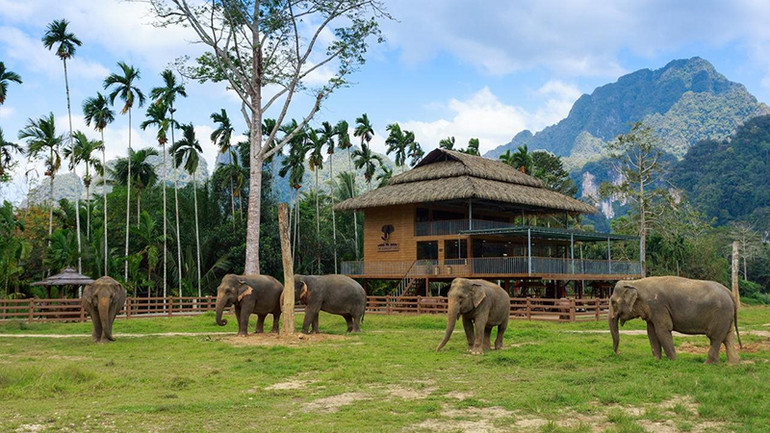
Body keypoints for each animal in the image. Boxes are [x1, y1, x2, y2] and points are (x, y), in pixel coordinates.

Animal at [609, 276, 742, 364]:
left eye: (613, 302)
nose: (619, 354)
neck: (635, 282)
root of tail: (730, 293)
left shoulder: (658, 306)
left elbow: (662, 330)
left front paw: (674, 361)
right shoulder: (652, 311)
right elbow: (651, 332)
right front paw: (657, 360)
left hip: (721, 314)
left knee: (715, 338)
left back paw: (708, 364)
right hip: (726, 316)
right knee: (728, 337)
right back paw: (732, 364)